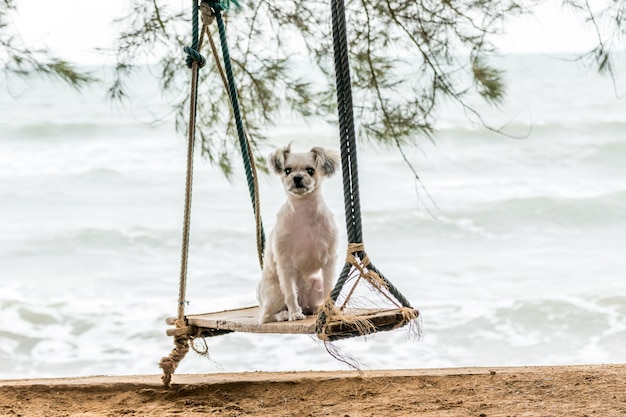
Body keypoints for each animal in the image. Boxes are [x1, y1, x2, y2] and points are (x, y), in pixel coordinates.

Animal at [256, 143, 338, 322]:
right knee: (265, 317)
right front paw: (294, 314)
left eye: (310, 170)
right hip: (276, 293)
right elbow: (290, 294)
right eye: (287, 170)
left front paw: (329, 310)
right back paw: (284, 314)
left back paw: (316, 308)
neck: (304, 210)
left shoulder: (329, 260)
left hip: (316, 284)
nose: (297, 177)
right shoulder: (285, 264)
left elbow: (329, 287)